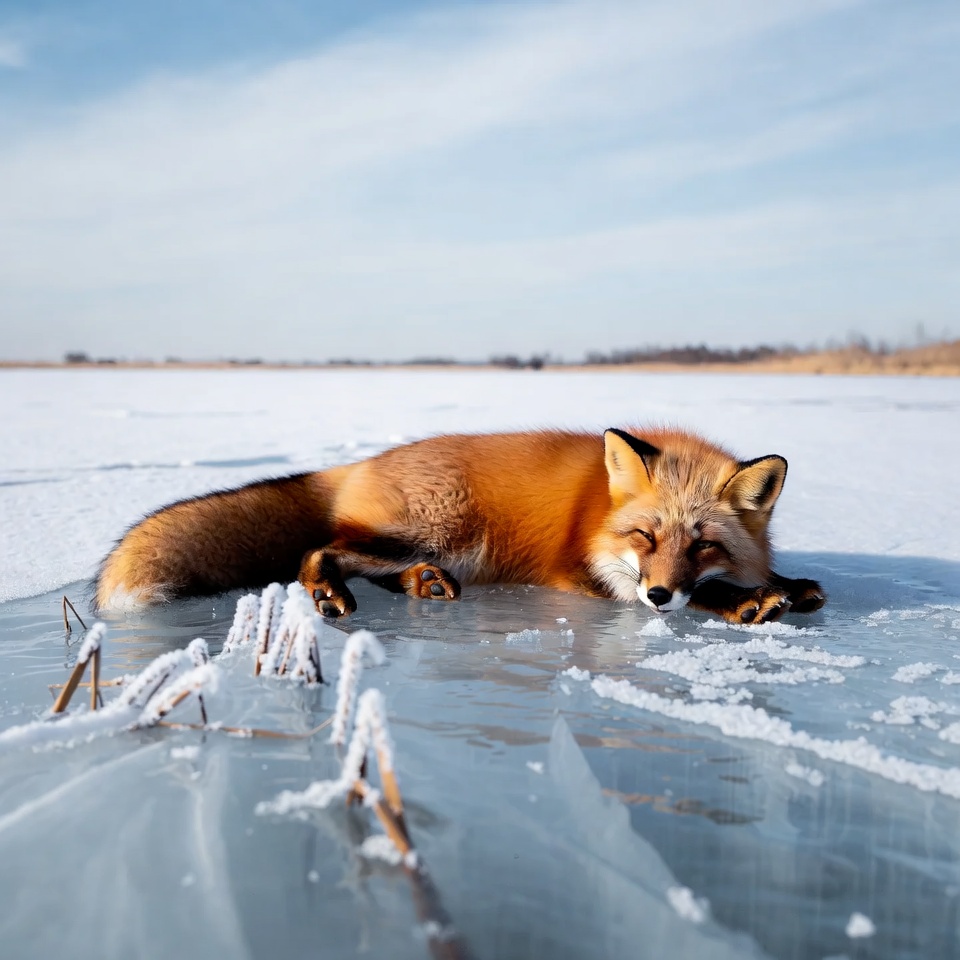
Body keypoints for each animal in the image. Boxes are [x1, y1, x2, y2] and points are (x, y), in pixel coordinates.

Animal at [94, 427, 825, 625]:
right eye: (643, 538)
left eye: (703, 543)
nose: (660, 594)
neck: (598, 511)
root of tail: (360, 462)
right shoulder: (581, 570)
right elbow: (708, 596)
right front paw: (746, 600)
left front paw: (789, 583)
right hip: (438, 531)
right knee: (319, 550)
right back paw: (329, 591)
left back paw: (421, 586)